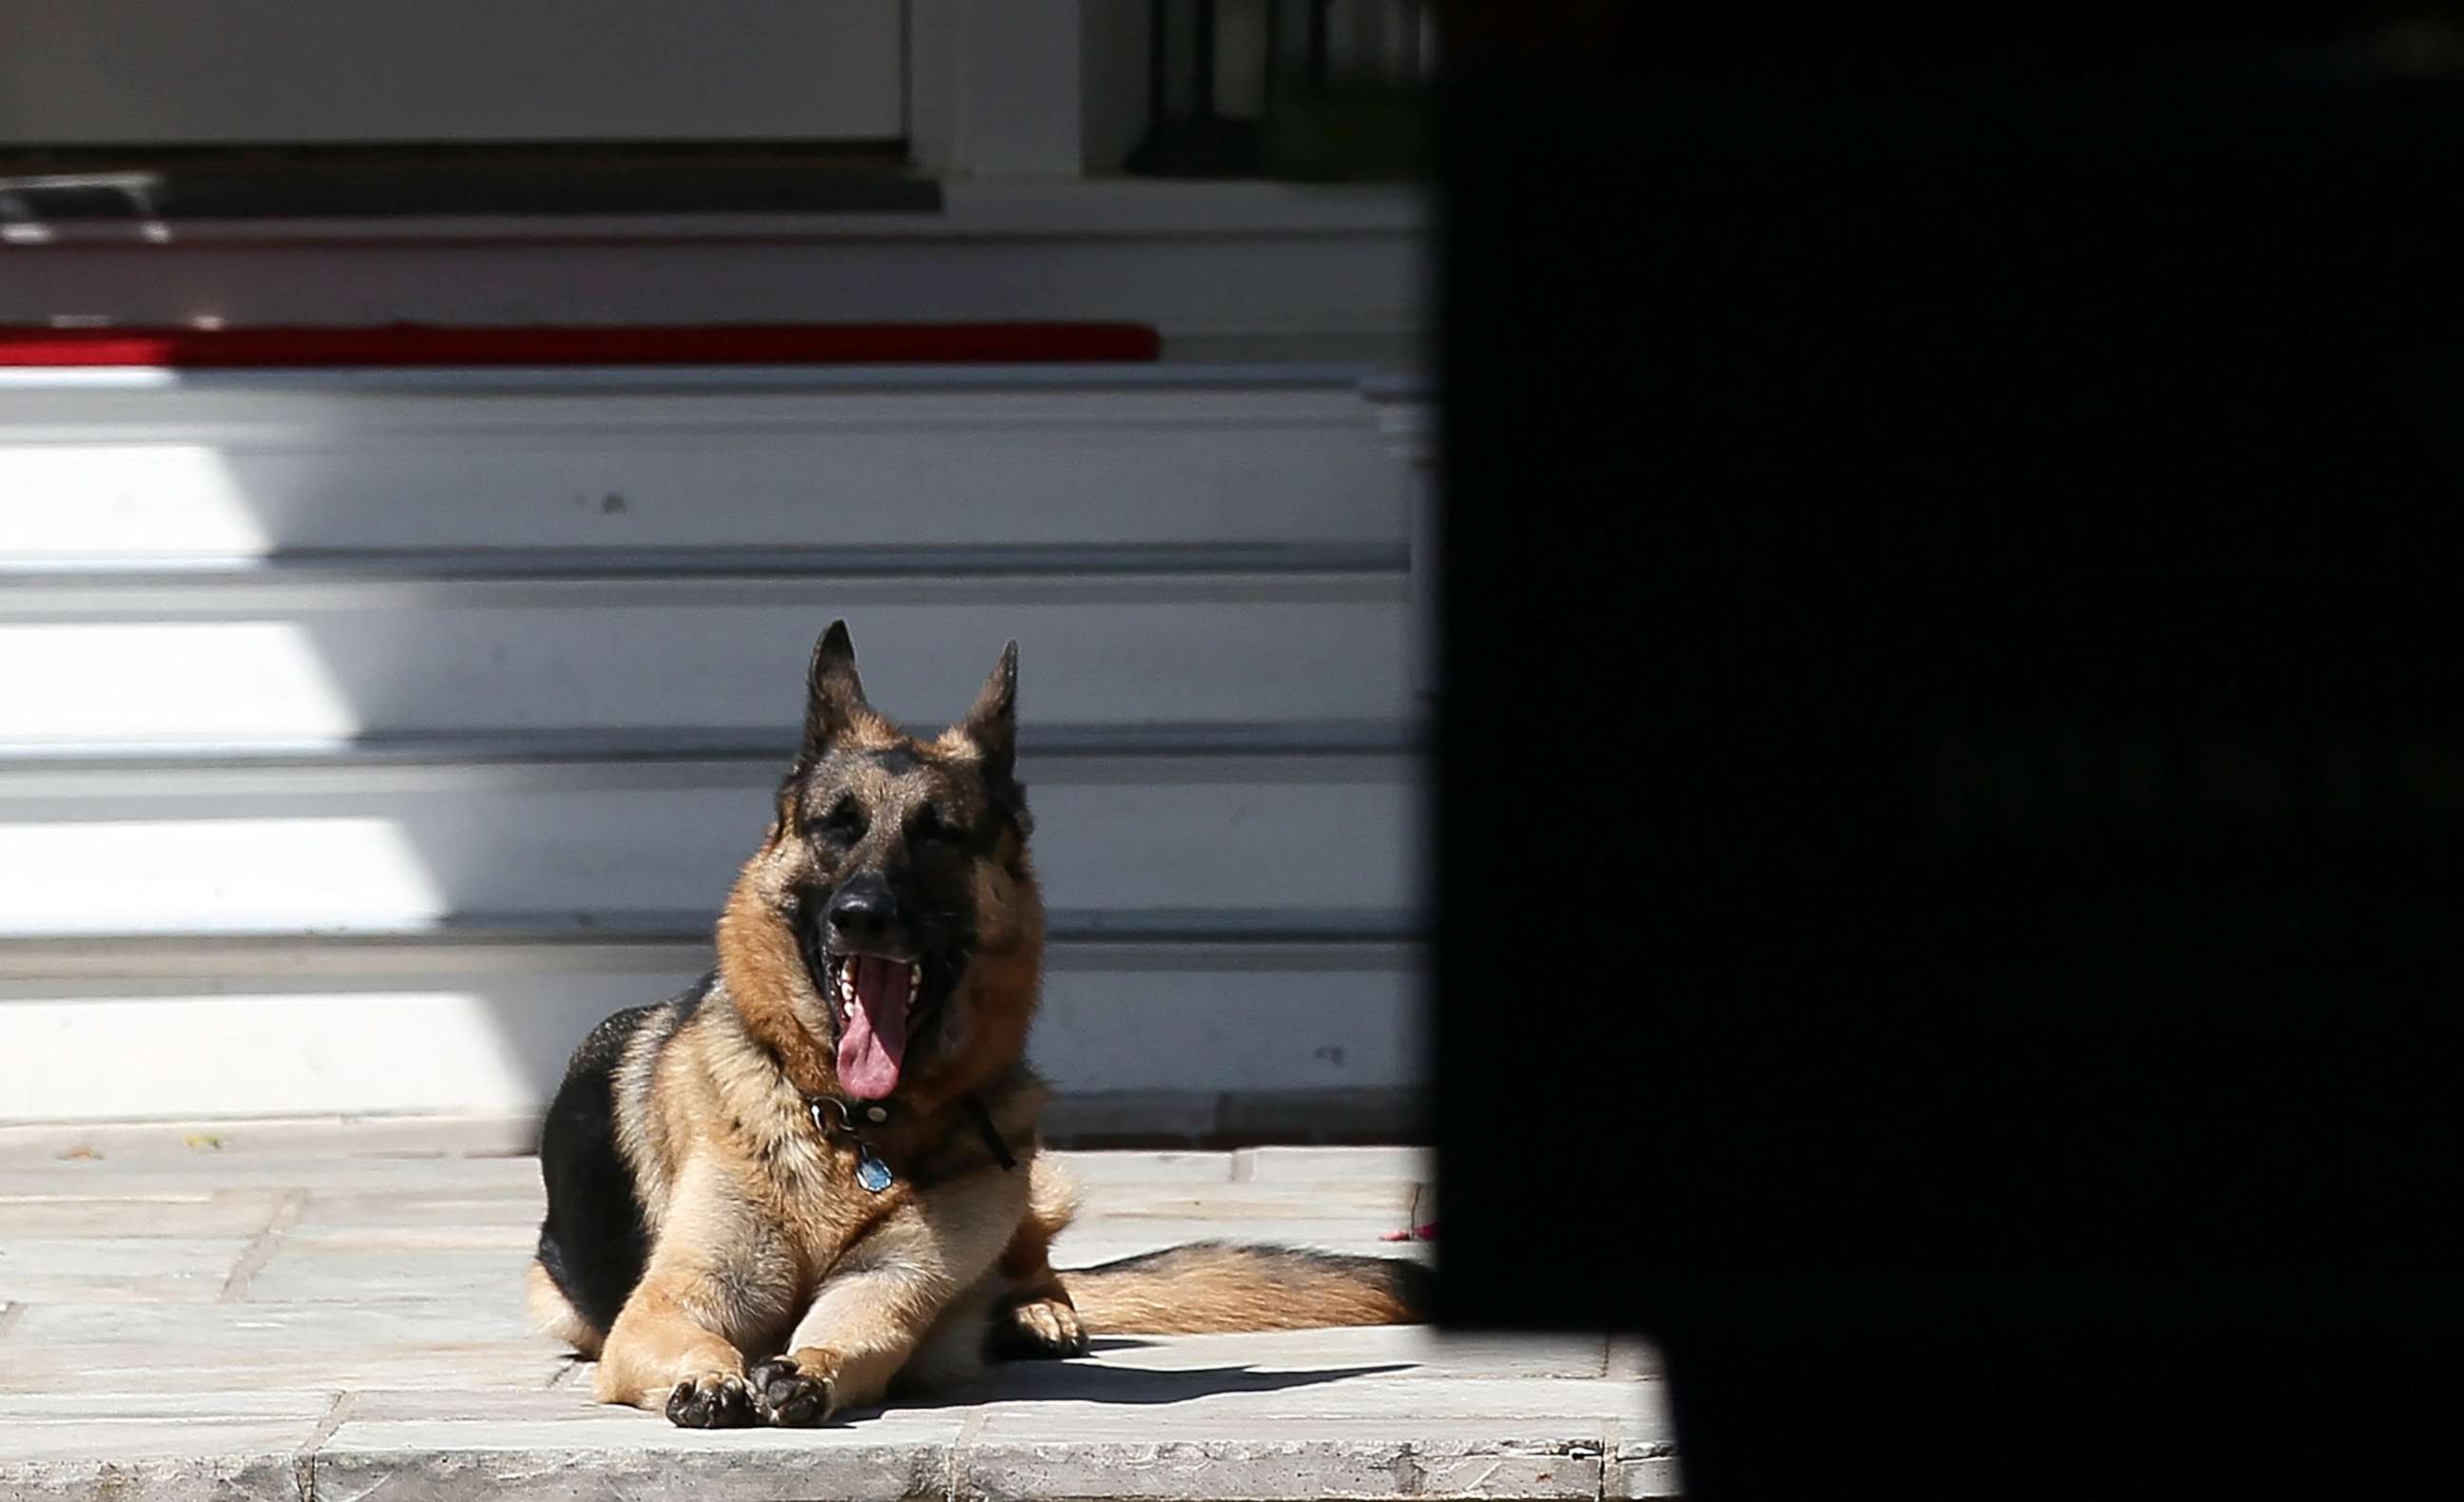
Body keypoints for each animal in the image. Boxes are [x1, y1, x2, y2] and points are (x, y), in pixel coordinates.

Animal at [529, 623, 1438, 1428]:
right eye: (837, 826)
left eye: (938, 835)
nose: (863, 916)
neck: (857, 1131)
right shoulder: (670, 1304)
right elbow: (691, 1338)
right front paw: (714, 1376)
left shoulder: (890, 1284)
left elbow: (858, 1335)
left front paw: (809, 1368)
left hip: (1036, 1179)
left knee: (1034, 1270)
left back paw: (1037, 1313)